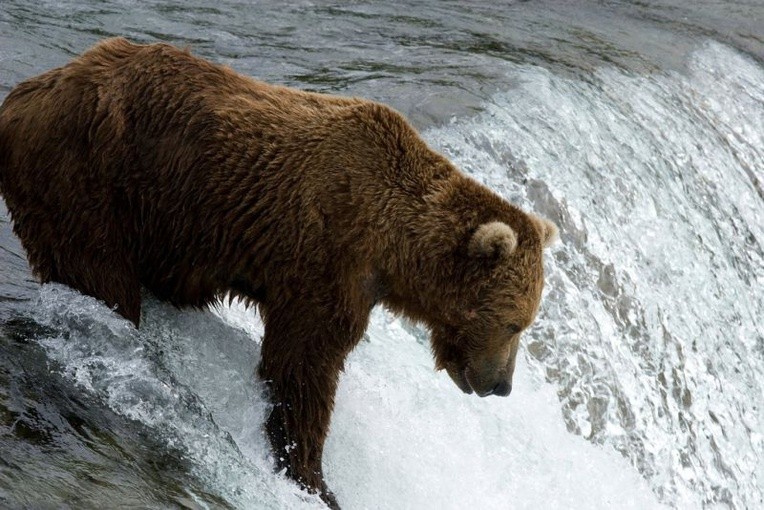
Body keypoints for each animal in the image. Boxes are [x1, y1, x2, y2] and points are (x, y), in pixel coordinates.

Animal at [0, 37, 560, 508]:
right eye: (515, 322)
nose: (502, 385)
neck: (393, 243)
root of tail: (25, 95)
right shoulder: (326, 263)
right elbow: (302, 367)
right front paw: (312, 477)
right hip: (86, 177)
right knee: (98, 274)